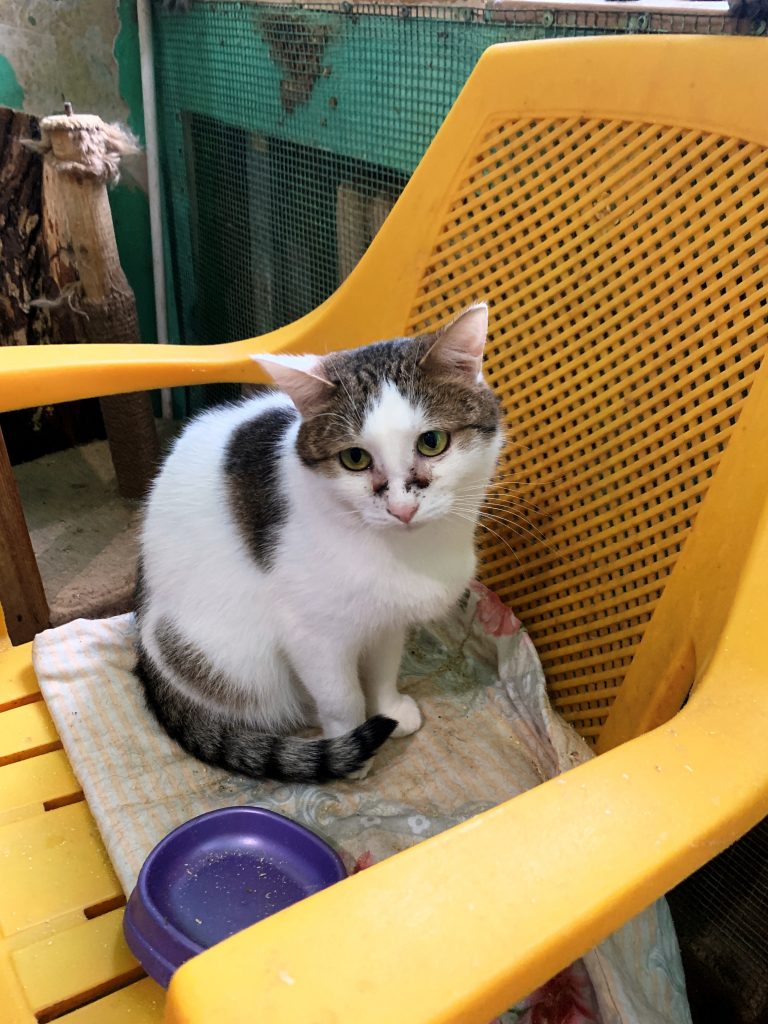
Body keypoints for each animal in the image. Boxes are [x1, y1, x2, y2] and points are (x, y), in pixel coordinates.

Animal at [135, 304, 502, 782]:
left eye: (432, 442)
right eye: (355, 458)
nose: (402, 508)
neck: (408, 553)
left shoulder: (388, 618)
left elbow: (383, 670)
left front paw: (389, 709)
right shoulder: (312, 635)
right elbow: (341, 697)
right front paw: (350, 747)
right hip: (220, 657)